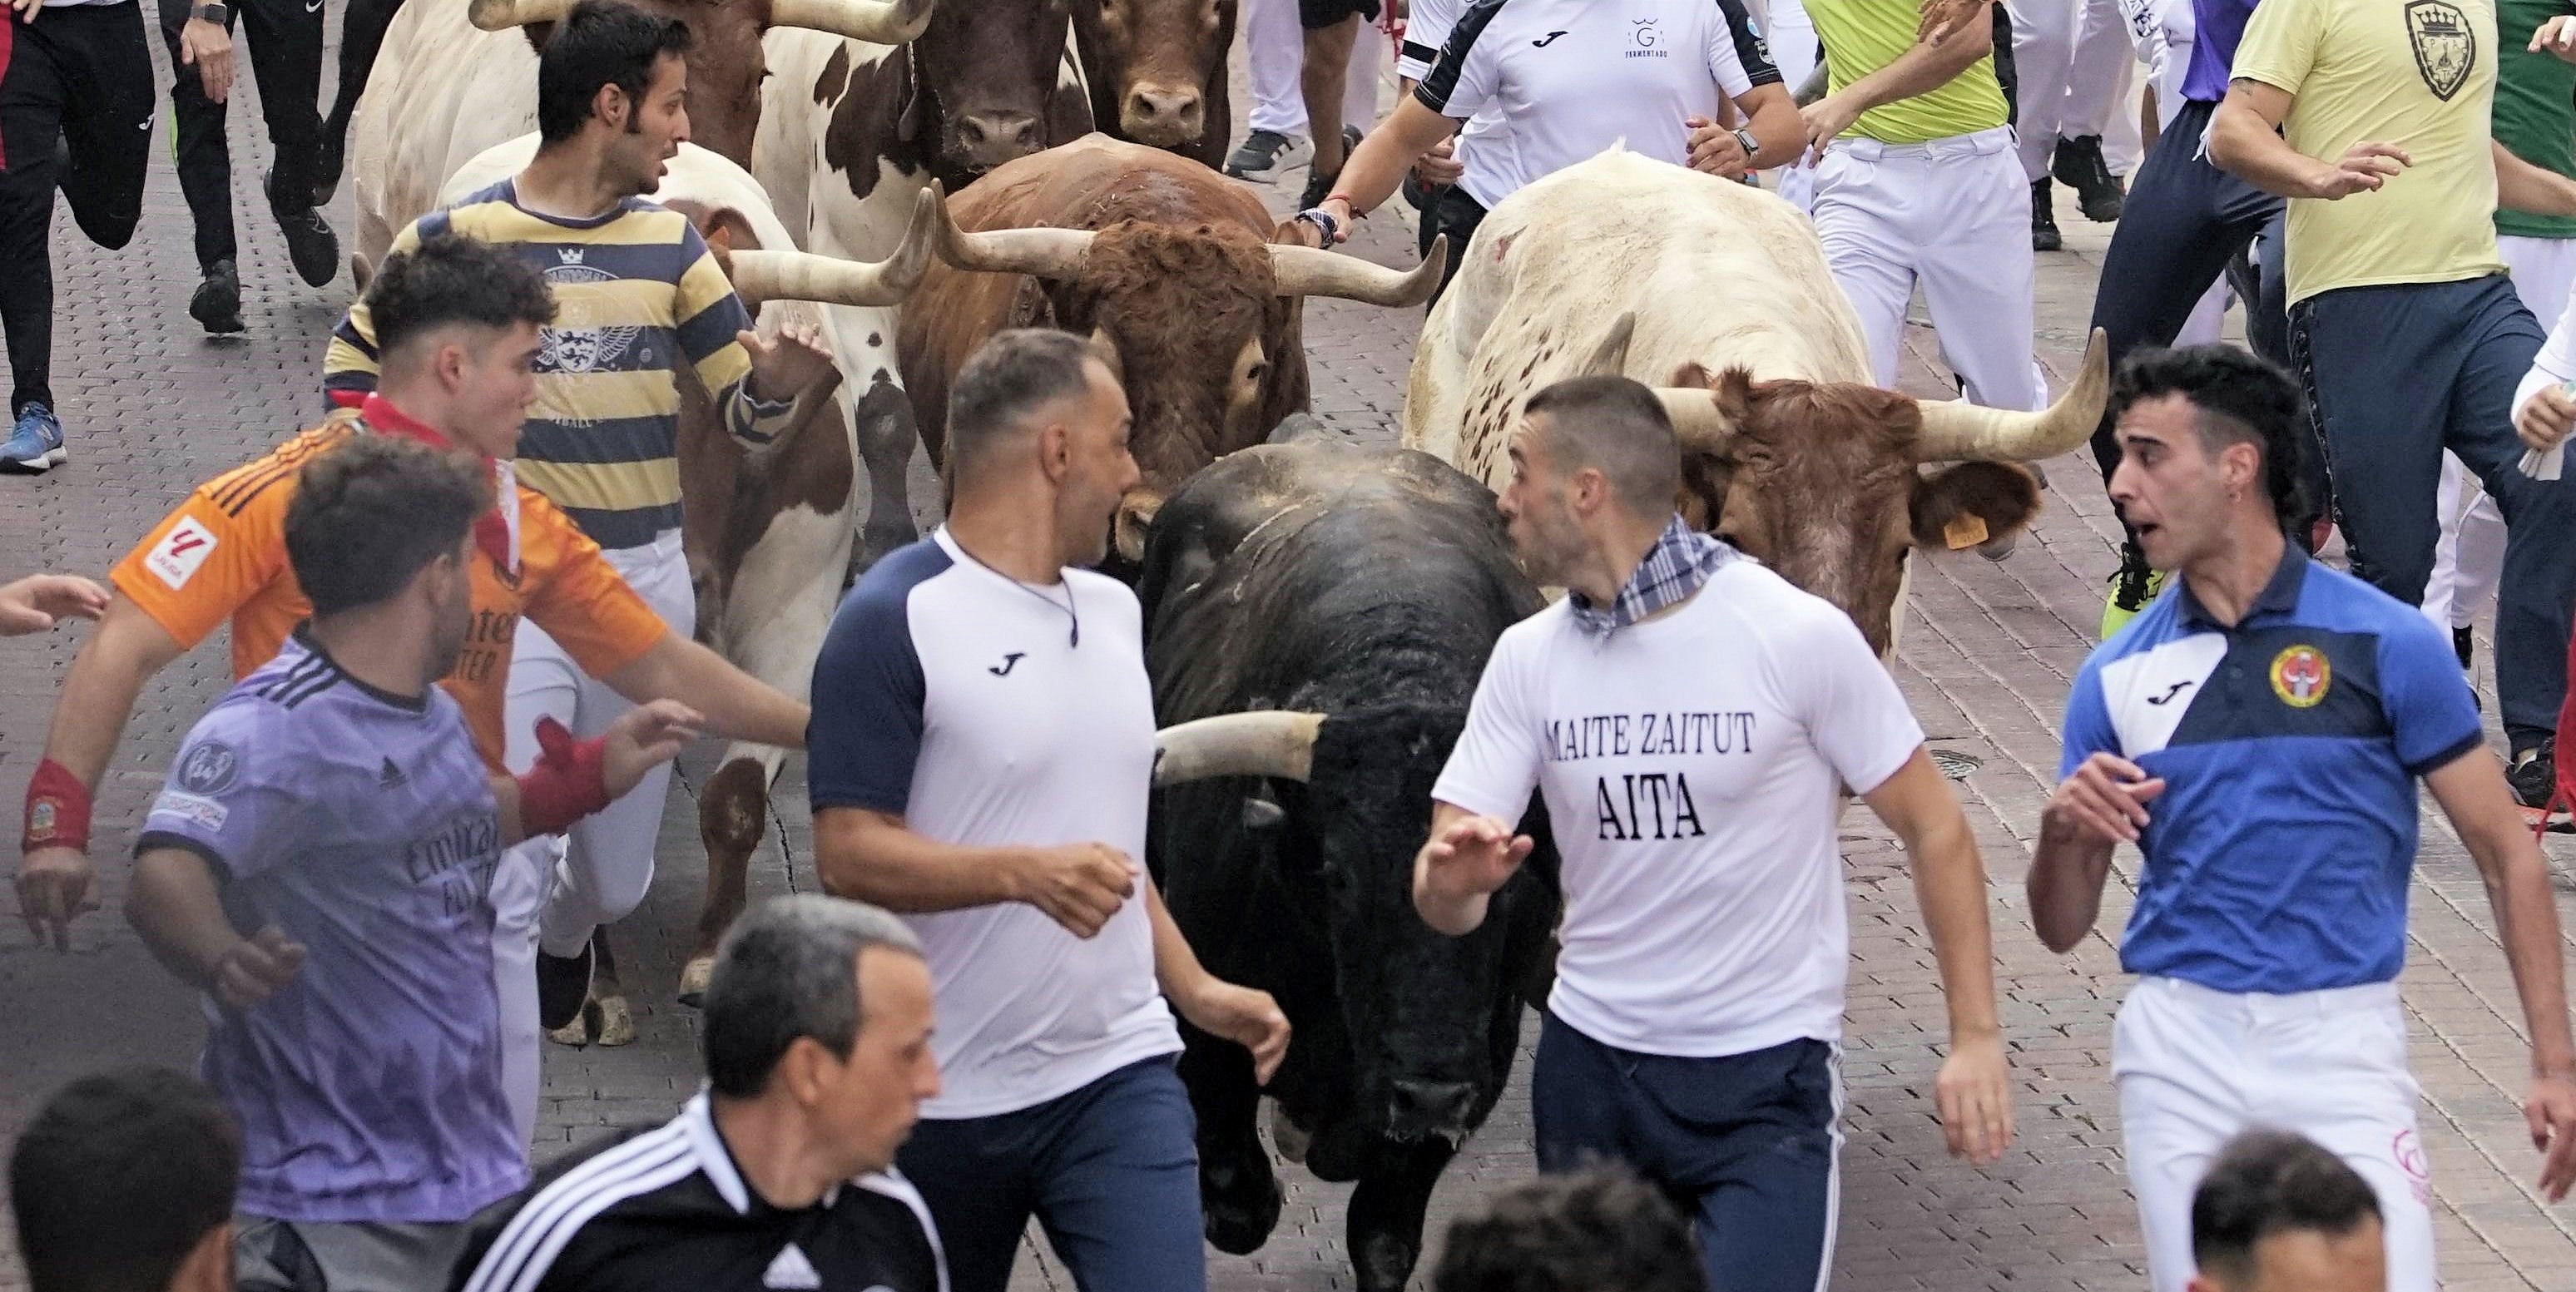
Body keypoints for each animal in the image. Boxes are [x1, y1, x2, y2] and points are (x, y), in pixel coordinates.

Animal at [755, 8, 1090, 563]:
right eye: (947, 12)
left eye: (1053, 6)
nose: (998, 135)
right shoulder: (852, 264)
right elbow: (885, 413)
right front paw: (886, 533)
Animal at [1139, 438, 1560, 1292]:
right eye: (1338, 875)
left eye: (1510, 884)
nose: (1428, 1091)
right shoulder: (1206, 1027)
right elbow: (1237, 1198)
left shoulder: (1478, 1066)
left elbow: (1383, 1234)